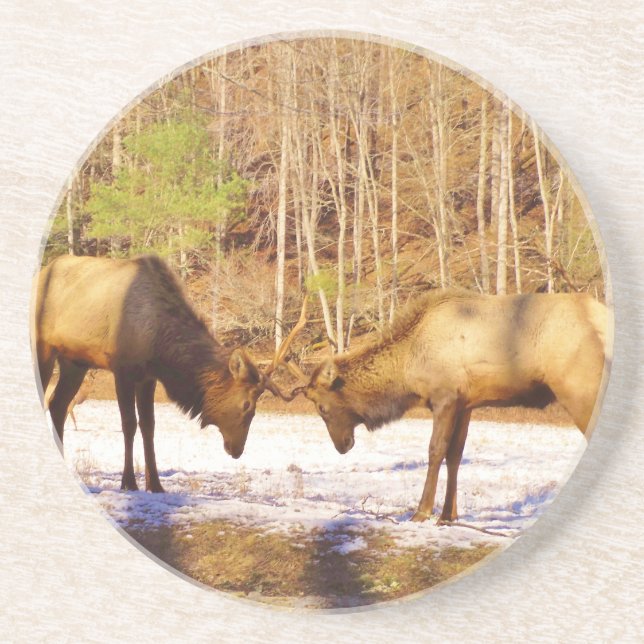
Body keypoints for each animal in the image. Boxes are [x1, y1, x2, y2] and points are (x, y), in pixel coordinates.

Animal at [31, 254, 298, 493]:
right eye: (247, 405)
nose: (237, 450)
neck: (159, 347)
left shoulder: (148, 376)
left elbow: (149, 425)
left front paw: (155, 484)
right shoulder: (122, 369)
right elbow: (129, 424)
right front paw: (129, 482)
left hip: (74, 362)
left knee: (57, 406)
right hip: (43, 347)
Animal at [284, 289, 612, 523]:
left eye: (321, 408)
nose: (342, 446)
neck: (407, 368)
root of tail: (600, 316)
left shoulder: (445, 397)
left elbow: (435, 450)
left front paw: (422, 512)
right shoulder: (466, 403)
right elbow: (456, 454)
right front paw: (448, 515)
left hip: (578, 386)